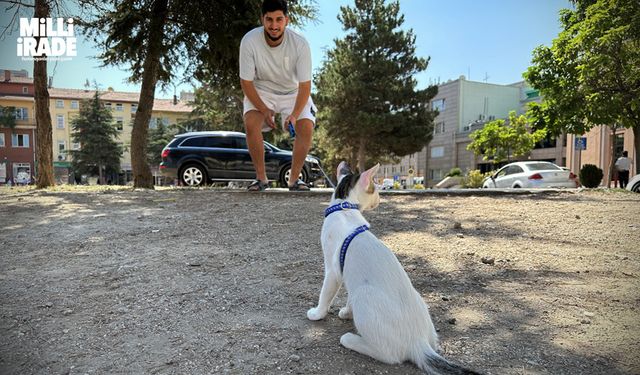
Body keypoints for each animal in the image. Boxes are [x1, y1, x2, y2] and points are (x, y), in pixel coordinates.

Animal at [306, 162, 480, 375]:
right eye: (375, 189)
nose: (380, 198)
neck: (343, 208)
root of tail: (419, 342)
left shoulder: (333, 271)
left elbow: (325, 295)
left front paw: (317, 314)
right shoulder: (349, 276)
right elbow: (348, 297)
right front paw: (347, 312)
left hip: (364, 295)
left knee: (389, 355)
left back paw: (350, 339)